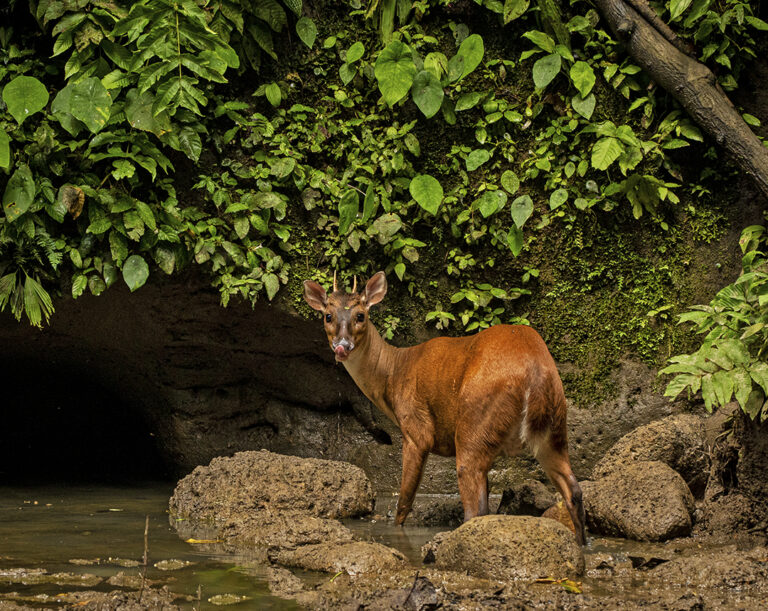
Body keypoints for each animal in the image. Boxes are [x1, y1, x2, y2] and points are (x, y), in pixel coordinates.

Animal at [304, 272, 584, 544]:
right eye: (328, 316)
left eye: (360, 315)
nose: (342, 346)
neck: (393, 374)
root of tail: (534, 371)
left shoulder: (417, 430)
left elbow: (404, 502)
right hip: (554, 427)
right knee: (573, 489)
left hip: (475, 424)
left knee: (474, 508)